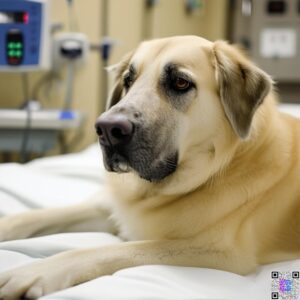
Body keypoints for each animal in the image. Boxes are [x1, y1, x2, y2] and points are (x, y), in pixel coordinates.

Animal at [0, 35, 300, 300]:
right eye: (128, 80)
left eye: (180, 82)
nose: (106, 130)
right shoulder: (111, 209)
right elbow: (30, 217)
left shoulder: (217, 252)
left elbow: (101, 251)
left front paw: (34, 272)